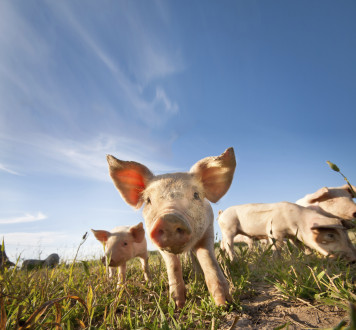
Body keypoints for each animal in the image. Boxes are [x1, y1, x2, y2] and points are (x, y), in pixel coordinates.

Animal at [107, 148, 238, 308]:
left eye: (196, 195)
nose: (168, 219)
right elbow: (173, 265)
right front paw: (177, 304)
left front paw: (224, 304)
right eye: (148, 200)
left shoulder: (208, 230)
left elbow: (208, 260)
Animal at [218, 201, 356, 262]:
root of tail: (221, 214)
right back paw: (234, 260)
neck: (297, 222)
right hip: (228, 228)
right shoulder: (274, 232)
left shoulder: (293, 236)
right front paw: (276, 261)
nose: (353, 258)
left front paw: (309, 256)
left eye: (346, 235)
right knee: (228, 245)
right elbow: (277, 247)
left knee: (223, 245)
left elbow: (302, 246)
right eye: (330, 235)